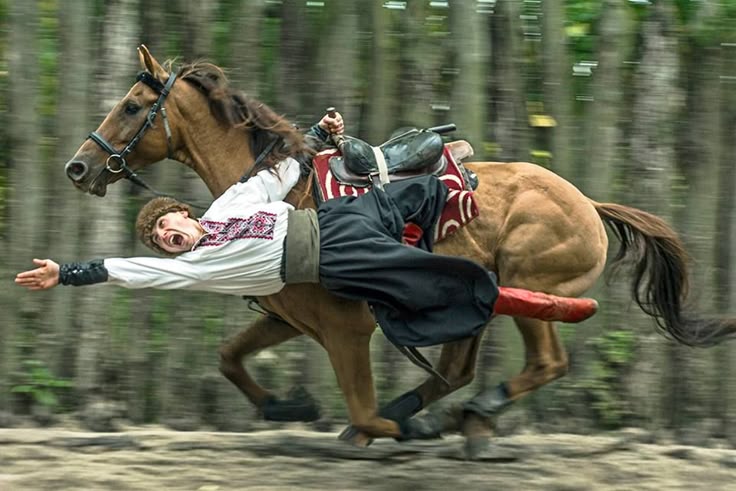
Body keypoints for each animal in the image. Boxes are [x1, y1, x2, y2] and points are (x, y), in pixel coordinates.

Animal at [64, 45, 736, 456]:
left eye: (131, 105)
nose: (79, 167)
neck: (289, 195)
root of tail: (591, 207)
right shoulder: (291, 317)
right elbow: (230, 357)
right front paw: (288, 405)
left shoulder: (344, 327)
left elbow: (354, 399)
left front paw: (366, 424)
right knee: (460, 368)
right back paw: (435, 415)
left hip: (529, 288)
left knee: (545, 362)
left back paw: (460, 416)